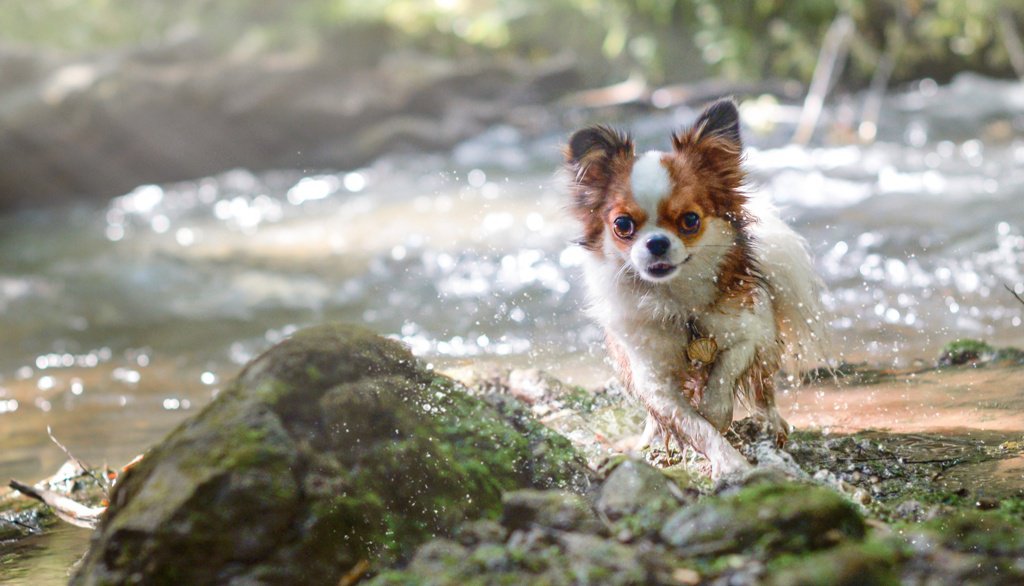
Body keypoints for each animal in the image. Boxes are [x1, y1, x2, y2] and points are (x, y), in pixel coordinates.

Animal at [565, 97, 827, 481]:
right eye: (622, 225)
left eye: (690, 220)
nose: (657, 243)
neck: (677, 304)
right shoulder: (654, 382)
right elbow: (693, 426)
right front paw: (729, 462)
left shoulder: (750, 330)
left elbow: (726, 370)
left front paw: (716, 409)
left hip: (766, 348)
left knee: (763, 388)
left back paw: (771, 422)